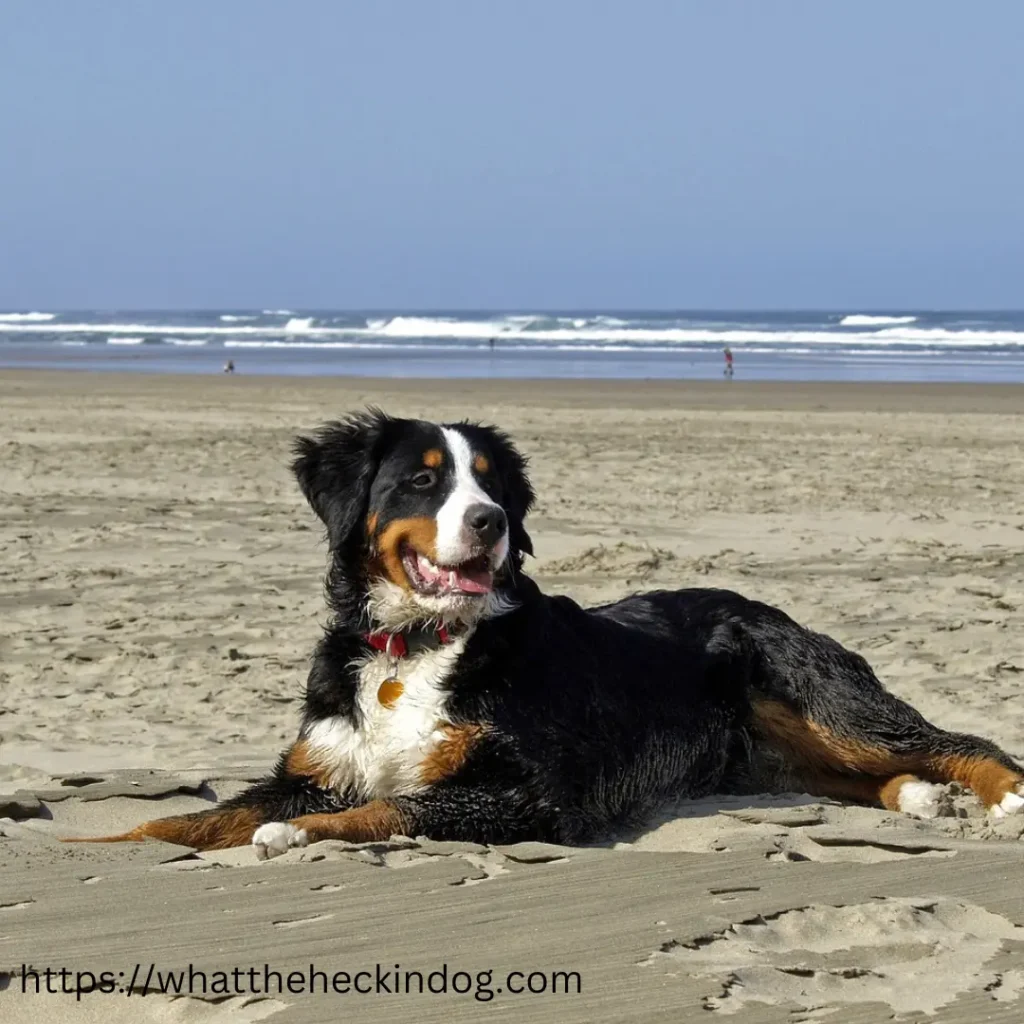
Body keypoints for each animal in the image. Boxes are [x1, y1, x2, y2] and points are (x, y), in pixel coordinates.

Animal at [68, 407, 1019, 856]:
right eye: (423, 481)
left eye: (492, 484)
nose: (490, 521)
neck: (419, 645)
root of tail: (766, 606)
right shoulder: (310, 768)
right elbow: (190, 821)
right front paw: (92, 846)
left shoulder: (530, 792)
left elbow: (392, 805)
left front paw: (300, 837)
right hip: (774, 754)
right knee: (864, 775)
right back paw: (921, 798)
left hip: (824, 701)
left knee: (958, 739)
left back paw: (1000, 795)